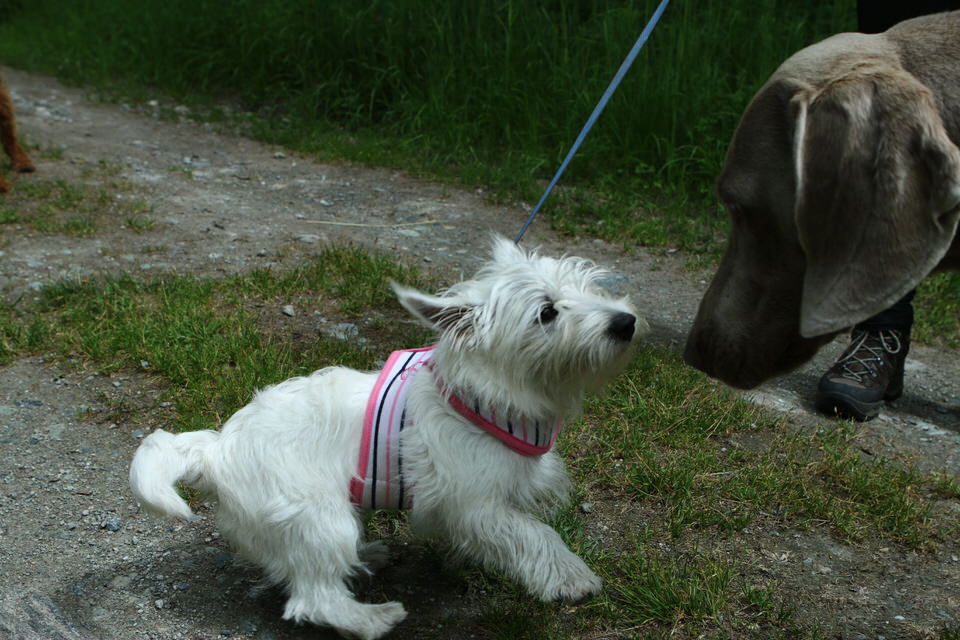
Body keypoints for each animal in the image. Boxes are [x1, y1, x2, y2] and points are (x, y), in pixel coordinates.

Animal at [129, 236, 645, 639]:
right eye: (547, 312)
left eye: (590, 285)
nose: (625, 323)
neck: (484, 394)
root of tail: (217, 448)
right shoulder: (474, 504)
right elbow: (535, 535)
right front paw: (570, 577)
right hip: (320, 520)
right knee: (314, 597)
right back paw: (373, 619)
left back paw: (368, 557)